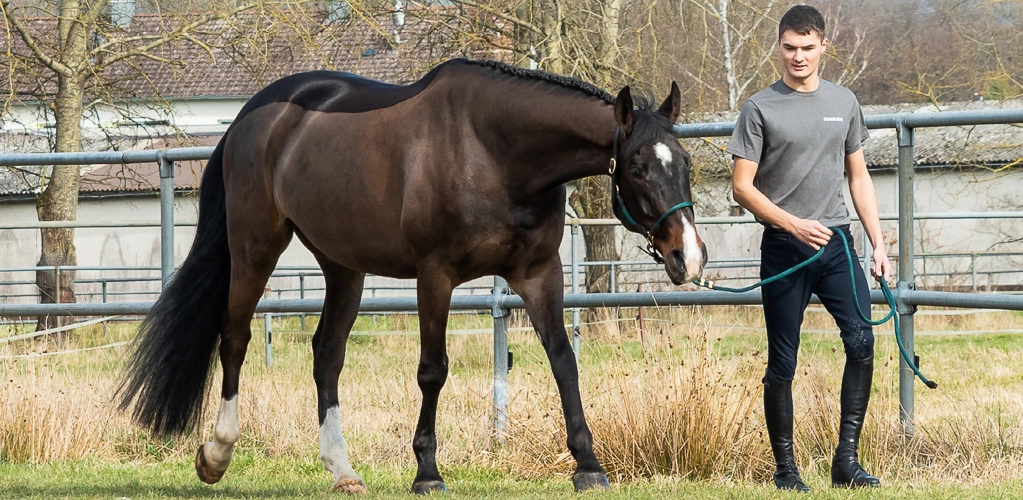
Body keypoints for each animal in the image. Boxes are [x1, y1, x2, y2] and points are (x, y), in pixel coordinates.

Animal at [117, 58, 707, 494]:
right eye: (637, 168)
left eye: (685, 162)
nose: (689, 257)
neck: (493, 149)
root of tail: (248, 120)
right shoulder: (435, 275)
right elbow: (433, 370)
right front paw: (427, 472)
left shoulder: (539, 273)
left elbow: (563, 360)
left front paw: (588, 465)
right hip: (255, 246)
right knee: (235, 338)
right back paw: (216, 455)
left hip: (343, 265)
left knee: (327, 354)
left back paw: (344, 472)